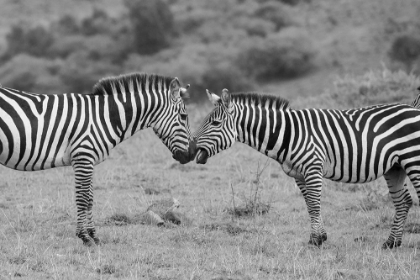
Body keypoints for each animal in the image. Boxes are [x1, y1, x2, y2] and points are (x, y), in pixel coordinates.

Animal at [0, 73, 192, 246]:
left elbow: (90, 198)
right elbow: (83, 198)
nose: (191, 154)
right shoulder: (83, 157)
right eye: (184, 116)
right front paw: (84, 237)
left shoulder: (89, 160)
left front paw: (94, 236)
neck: (104, 118)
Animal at [193, 88, 420, 248]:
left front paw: (316, 240)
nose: (191, 148)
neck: (288, 133)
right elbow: (310, 205)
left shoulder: (313, 168)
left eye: (215, 123)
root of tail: (413, 108)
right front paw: (319, 237)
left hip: (413, 160)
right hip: (395, 167)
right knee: (403, 202)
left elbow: (315, 204)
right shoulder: (298, 174)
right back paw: (391, 243)